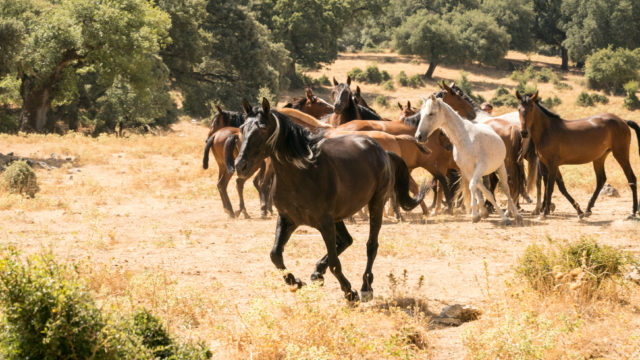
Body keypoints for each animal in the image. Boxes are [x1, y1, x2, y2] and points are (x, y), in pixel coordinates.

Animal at [418, 95, 524, 225]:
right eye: (421, 114)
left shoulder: (480, 167)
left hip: (501, 167)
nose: (419, 136)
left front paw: (475, 215)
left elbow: (473, 186)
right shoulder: (467, 170)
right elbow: (480, 189)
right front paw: (481, 213)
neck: (465, 139)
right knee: (487, 188)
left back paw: (515, 214)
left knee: (507, 189)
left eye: (431, 114)